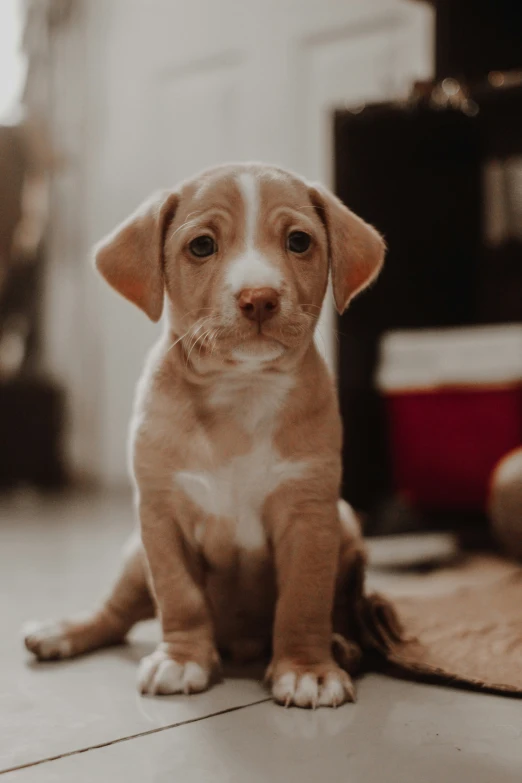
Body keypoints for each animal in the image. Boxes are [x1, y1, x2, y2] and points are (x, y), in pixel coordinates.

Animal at [23, 164, 382, 712]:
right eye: (202, 246)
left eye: (299, 241)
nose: (259, 298)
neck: (240, 392)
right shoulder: (161, 516)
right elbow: (179, 596)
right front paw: (181, 659)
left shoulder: (310, 514)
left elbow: (304, 600)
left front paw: (307, 670)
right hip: (133, 557)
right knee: (115, 615)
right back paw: (62, 631)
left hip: (346, 527)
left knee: (337, 605)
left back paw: (342, 644)